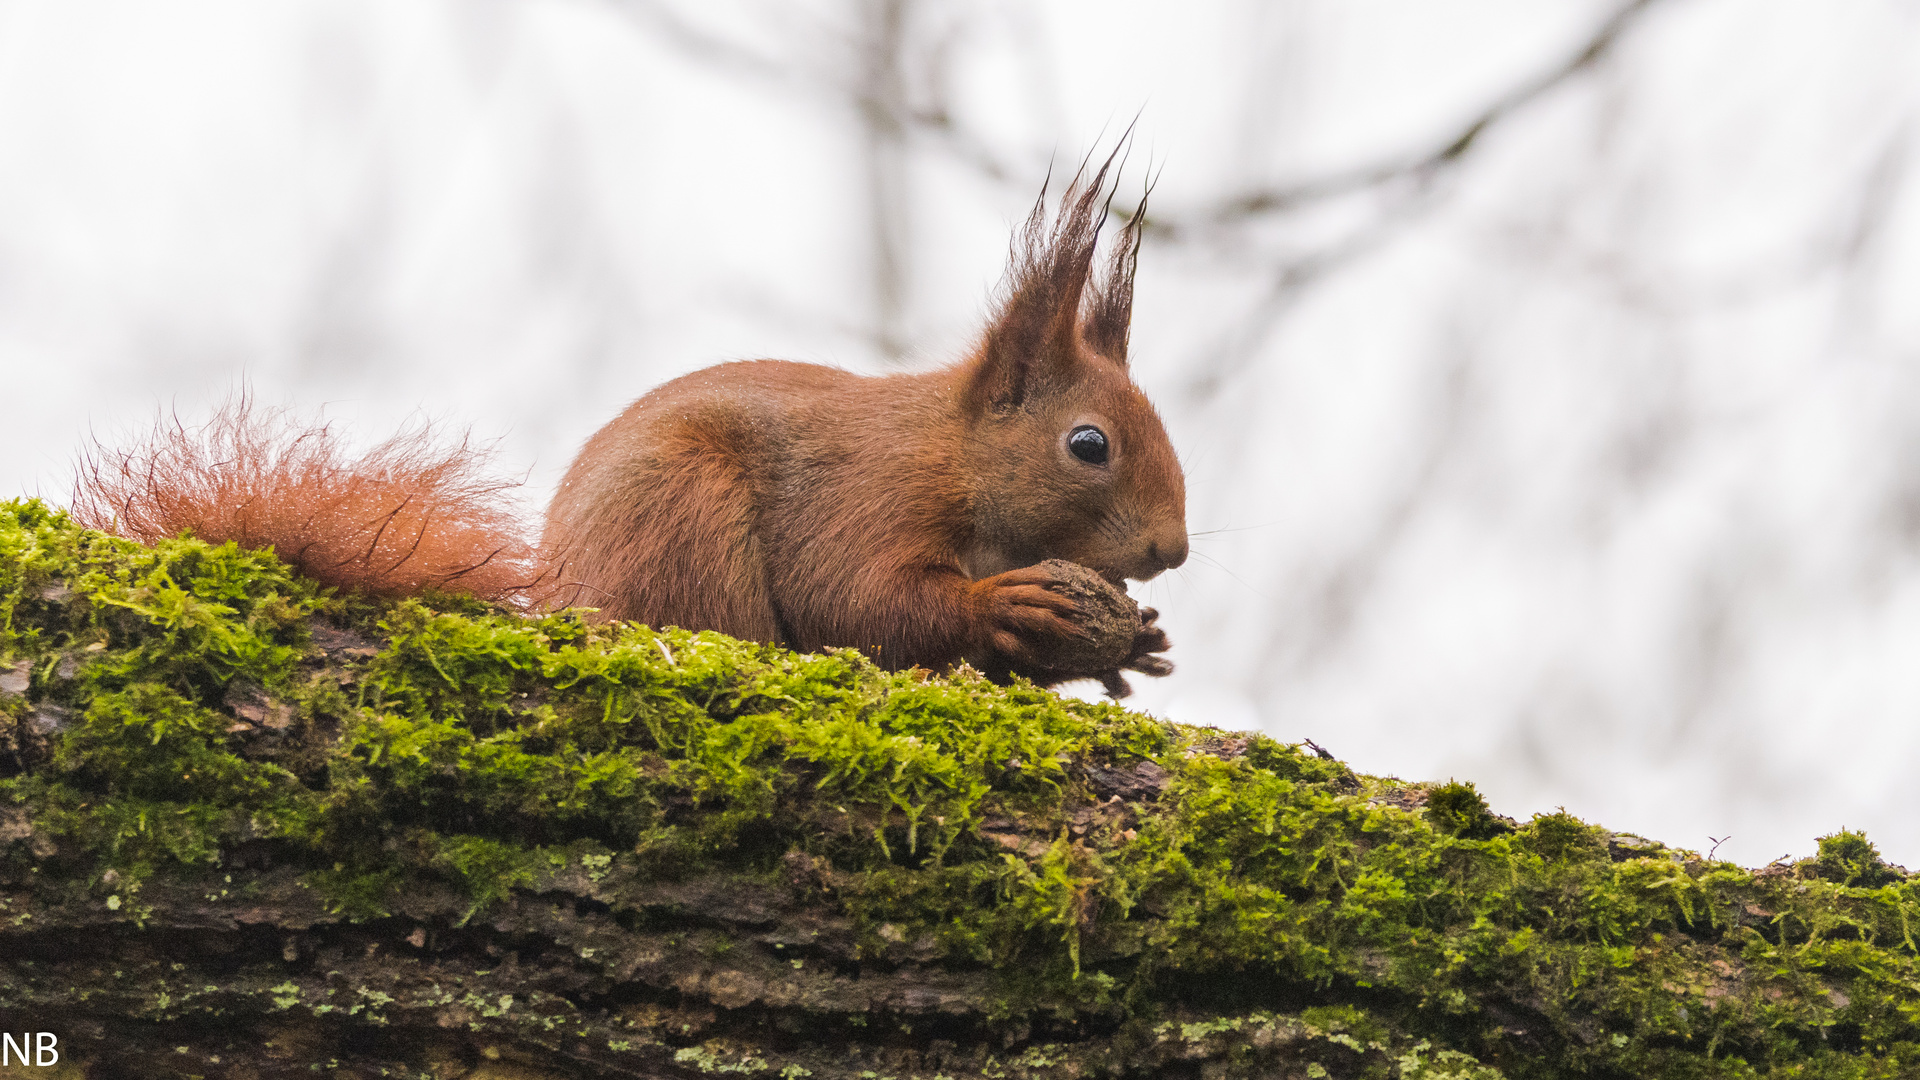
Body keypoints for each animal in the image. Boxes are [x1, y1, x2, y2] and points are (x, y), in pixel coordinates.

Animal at [74, 158, 1182, 691]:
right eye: (1089, 445)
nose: (1169, 551)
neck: (954, 454)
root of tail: (565, 597)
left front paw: (1129, 645)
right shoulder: (870, 495)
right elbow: (859, 601)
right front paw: (1011, 607)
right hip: (683, 517)